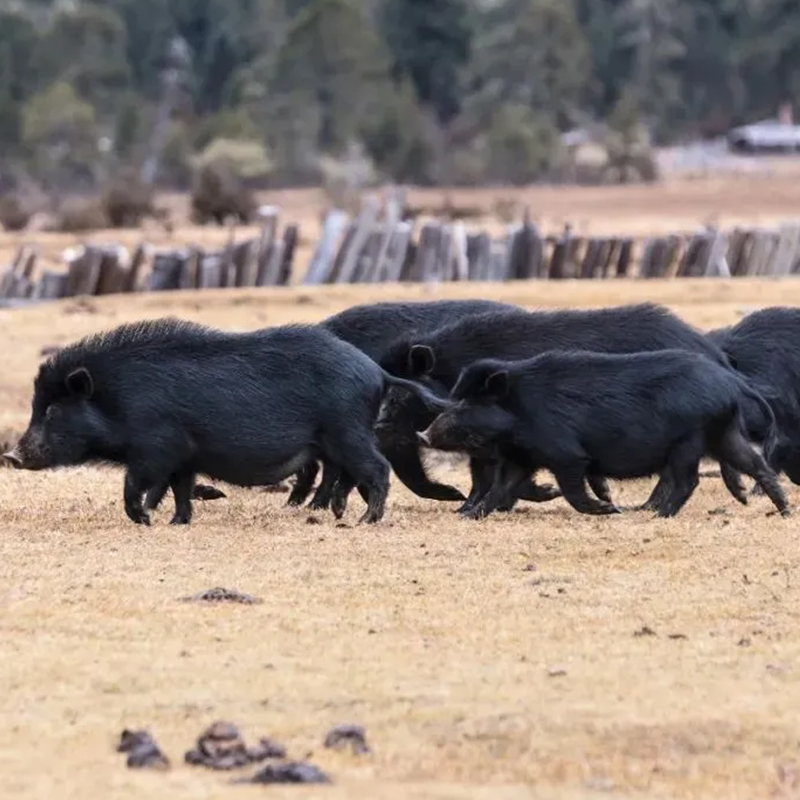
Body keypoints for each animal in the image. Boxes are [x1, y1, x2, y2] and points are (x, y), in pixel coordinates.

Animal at [4, 318, 444, 524]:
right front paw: (177, 522)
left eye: (53, 410)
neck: (117, 400)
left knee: (377, 468)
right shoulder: (184, 454)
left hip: (346, 429)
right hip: (338, 437)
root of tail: (376, 372)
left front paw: (144, 519)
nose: (11, 456)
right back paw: (333, 513)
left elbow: (137, 484)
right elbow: (179, 488)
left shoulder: (156, 447)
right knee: (345, 473)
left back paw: (365, 519)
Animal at [418, 350, 788, 520]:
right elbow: (500, 488)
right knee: (756, 464)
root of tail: (732, 383)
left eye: (468, 403)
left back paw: (653, 515)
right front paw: (468, 515)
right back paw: (783, 510)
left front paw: (608, 509)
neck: (518, 415)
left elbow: (572, 491)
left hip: (690, 439)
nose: (422, 434)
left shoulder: (566, 454)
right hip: (723, 432)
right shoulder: (521, 458)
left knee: (688, 480)